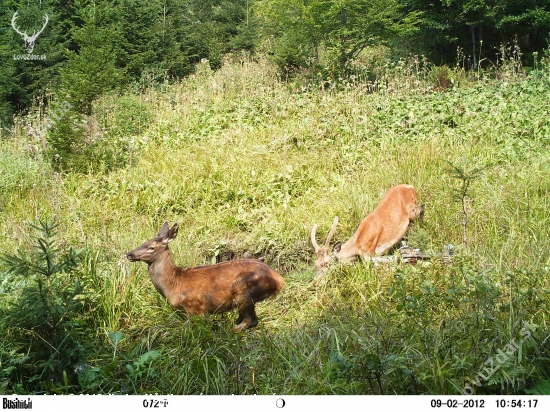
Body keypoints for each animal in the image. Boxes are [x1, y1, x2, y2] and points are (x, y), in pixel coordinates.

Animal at [128, 222, 286, 332]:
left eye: (151, 247)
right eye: (143, 242)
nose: (129, 254)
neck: (173, 284)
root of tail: (279, 280)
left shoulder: (196, 310)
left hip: (244, 291)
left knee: (251, 320)